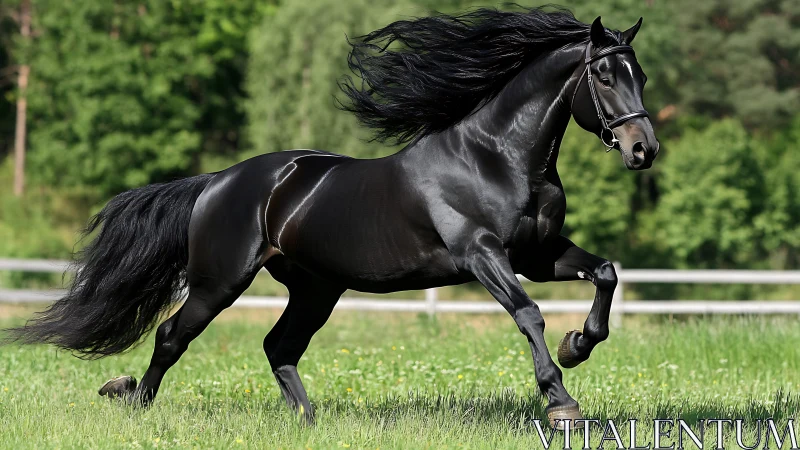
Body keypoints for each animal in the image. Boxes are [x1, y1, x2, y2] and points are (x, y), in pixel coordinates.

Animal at [5, 7, 658, 429]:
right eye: (604, 75)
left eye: (642, 75)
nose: (642, 150)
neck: (495, 156)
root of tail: (217, 182)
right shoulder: (482, 254)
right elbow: (527, 312)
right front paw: (560, 400)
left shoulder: (537, 253)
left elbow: (605, 273)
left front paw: (579, 345)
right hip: (220, 282)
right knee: (172, 336)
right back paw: (137, 404)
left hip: (317, 287)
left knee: (279, 346)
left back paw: (307, 419)